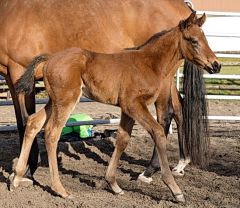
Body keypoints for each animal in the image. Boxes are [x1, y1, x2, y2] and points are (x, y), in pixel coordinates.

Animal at [12, 12, 220, 202]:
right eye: (193, 40)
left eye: (205, 39)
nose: (216, 65)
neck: (149, 63)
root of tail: (49, 59)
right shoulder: (134, 104)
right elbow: (158, 132)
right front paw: (175, 190)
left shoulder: (127, 109)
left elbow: (122, 140)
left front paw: (113, 184)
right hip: (66, 100)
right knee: (52, 133)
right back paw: (60, 189)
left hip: (54, 101)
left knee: (33, 122)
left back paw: (17, 178)